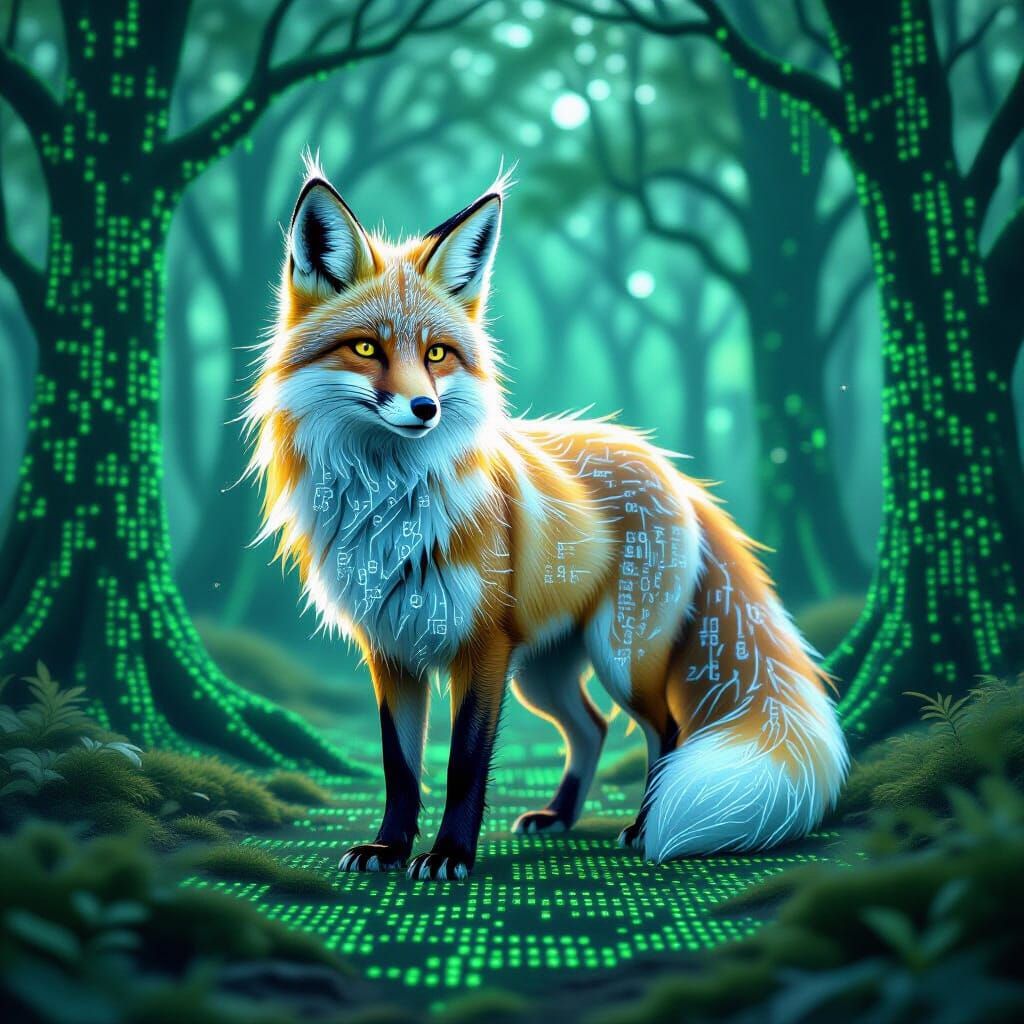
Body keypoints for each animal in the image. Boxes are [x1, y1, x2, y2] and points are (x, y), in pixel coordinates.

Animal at [244, 158, 849, 881]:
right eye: (366, 348)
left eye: (438, 355)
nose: (425, 409)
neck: (389, 508)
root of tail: (668, 466)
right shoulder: (390, 649)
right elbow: (401, 768)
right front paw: (389, 849)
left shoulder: (481, 646)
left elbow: (464, 764)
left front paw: (449, 856)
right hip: (542, 672)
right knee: (592, 726)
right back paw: (559, 816)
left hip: (620, 656)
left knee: (667, 729)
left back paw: (644, 828)